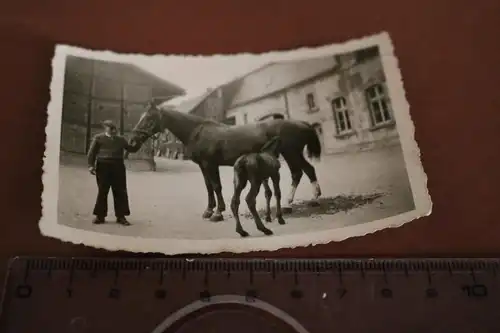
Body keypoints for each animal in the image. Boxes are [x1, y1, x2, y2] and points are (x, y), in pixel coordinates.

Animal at [129, 100, 322, 222]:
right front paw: (208, 210)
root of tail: (302, 123)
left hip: (291, 154)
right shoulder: (203, 166)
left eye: (149, 118)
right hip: (293, 154)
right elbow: (208, 187)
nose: (132, 142)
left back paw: (298, 203)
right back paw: (304, 201)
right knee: (305, 171)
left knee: (301, 172)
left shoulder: (210, 164)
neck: (197, 131)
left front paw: (218, 213)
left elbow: (216, 186)